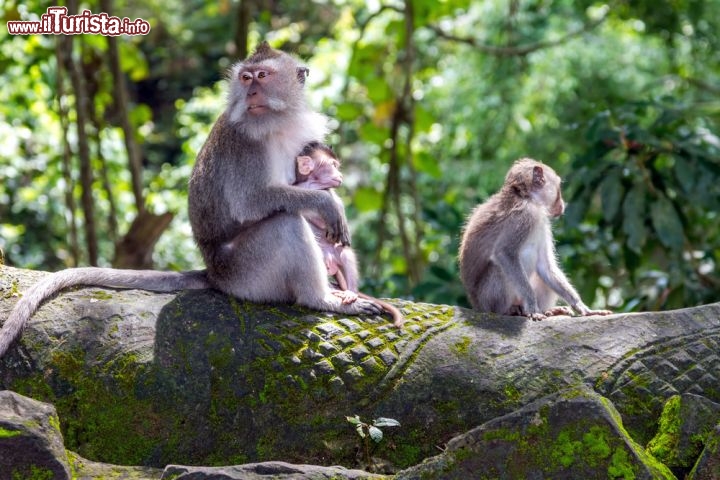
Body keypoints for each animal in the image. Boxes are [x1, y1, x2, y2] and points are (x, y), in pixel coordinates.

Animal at [0, 43, 382, 358]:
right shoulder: (245, 144)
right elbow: (250, 202)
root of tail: (213, 273)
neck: (276, 122)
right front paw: (328, 205)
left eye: (262, 76)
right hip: (248, 275)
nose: (251, 91)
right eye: (246, 77)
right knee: (284, 222)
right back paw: (320, 299)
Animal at [294, 142, 404, 328]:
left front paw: (342, 223)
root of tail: (330, 263)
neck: (312, 184)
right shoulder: (299, 188)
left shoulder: (326, 191)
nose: (340, 174)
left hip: (335, 254)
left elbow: (336, 205)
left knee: (345, 253)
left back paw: (351, 292)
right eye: (332, 165)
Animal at [458, 159, 612, 320]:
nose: (563, 203)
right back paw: (509, 310)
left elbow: (545, 266)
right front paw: (532, 307)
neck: (527, 198)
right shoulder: (526, 216)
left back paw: (548, 311)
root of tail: (477, 307)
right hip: (488, 299)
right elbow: (504, 254)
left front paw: (582, 306)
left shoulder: (541, 223)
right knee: (501, 266)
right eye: (558, 187)